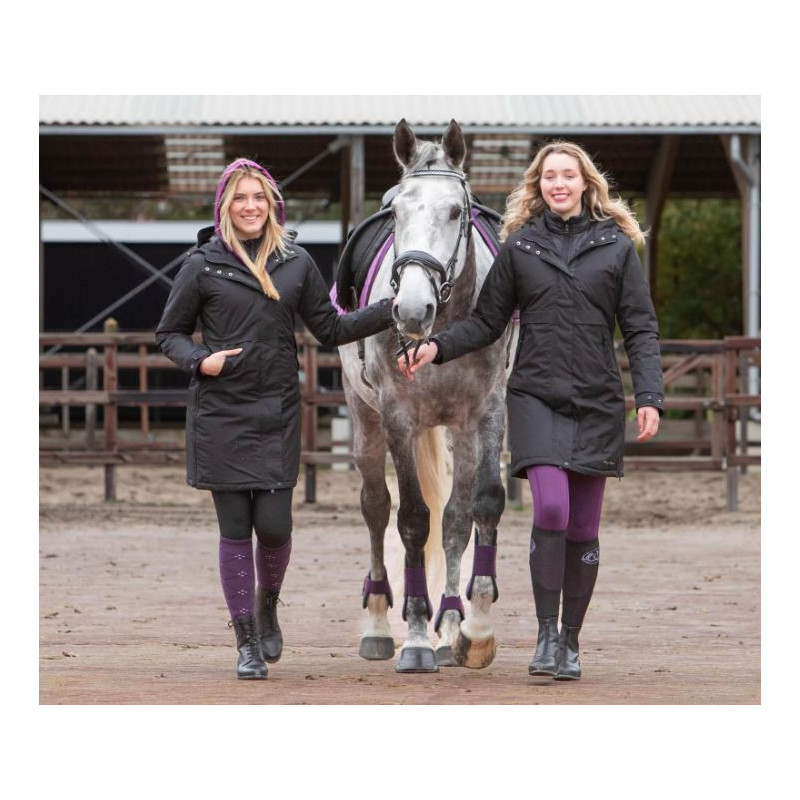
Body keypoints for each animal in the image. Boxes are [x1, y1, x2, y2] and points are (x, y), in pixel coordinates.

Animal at [337, 119, 515, 672]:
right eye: (396, 211)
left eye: (456, 211)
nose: (412, 310)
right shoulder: (399, 417)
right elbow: (413, 520)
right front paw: (415, 637)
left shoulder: (487, 413)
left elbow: (480, 507)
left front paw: (473, 630)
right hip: (367, 422)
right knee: (376, 508)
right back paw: (378, 627)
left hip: (457, 431)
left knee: (454, 518)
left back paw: (450, 625)